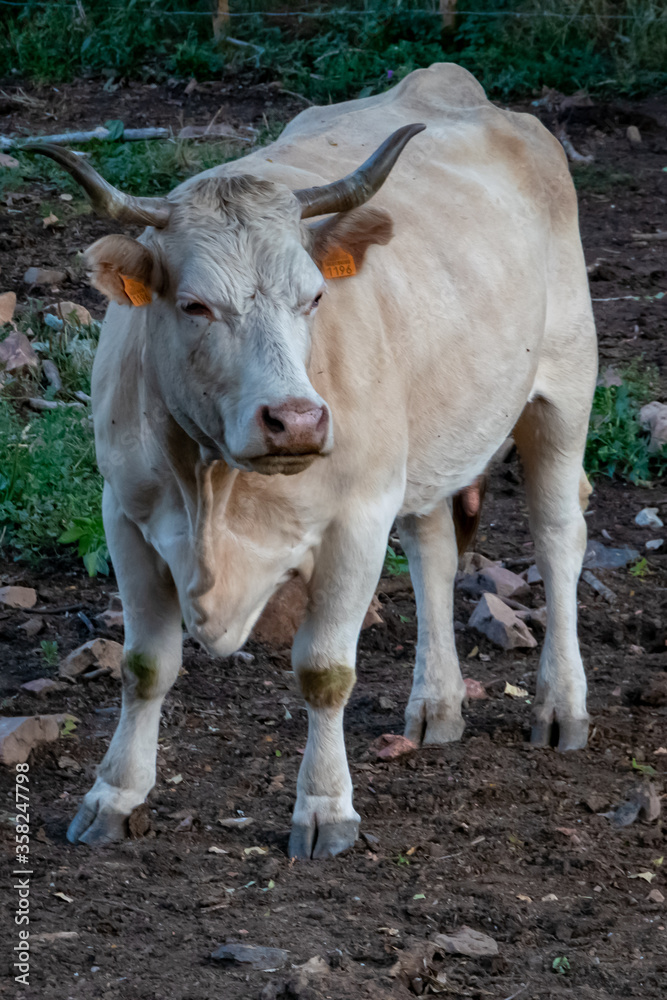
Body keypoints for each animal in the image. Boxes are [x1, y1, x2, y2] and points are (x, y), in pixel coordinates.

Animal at [30, 63, 597, 858]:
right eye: (194, 305)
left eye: (316, 297)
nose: (296, 419)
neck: (215, 487)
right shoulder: (125, 513)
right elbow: (145, 666)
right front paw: (113, 796)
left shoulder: (356, 517)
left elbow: (325, 672)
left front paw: (325, 808)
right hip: (423, 446)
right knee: (433, 551)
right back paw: (437, 703)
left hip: (564, 387)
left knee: (556, 536)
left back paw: (560, 706)